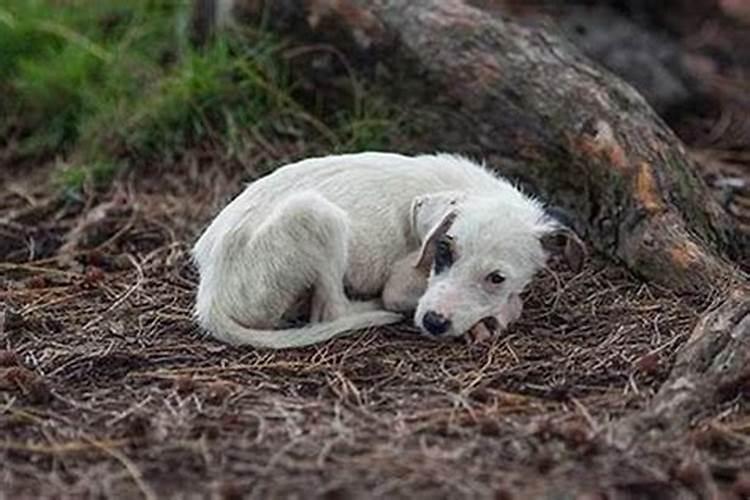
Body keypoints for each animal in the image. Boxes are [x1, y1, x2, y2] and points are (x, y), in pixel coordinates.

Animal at [191, 152, 584, 348]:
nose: (433, 323)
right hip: (316, 214)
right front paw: (495, 317)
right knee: (330, 312)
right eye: (444, 253)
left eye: (496, 278)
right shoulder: (401, 283)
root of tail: (210, 294)